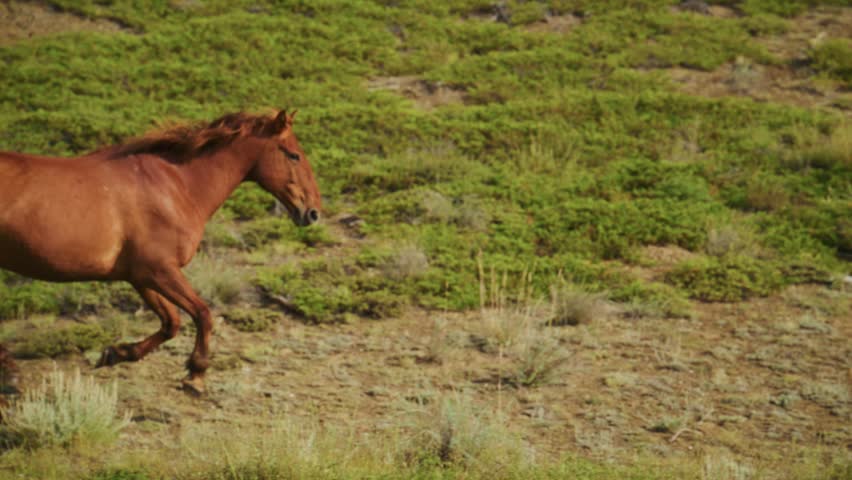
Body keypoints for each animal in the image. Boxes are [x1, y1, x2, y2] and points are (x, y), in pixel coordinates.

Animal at [0, 109, 321, 395]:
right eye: (294, 155)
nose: (313, 212)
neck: (175, 186)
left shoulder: (139, 275)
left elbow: (172, 323)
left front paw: (115, 353)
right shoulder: (159, 269)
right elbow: (203, 313)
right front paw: (196, 375)